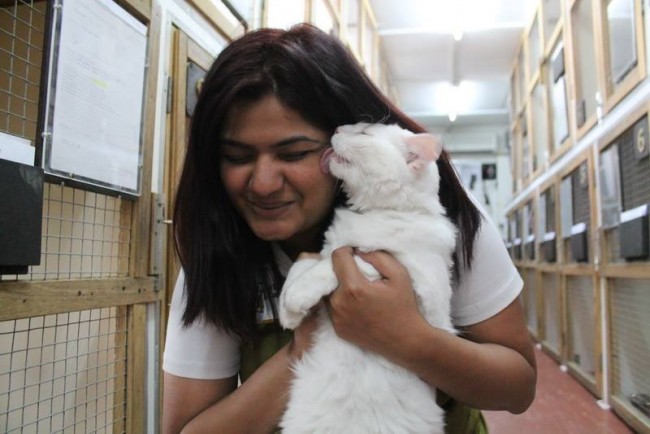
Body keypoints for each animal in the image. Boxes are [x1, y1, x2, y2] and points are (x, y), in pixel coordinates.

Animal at [278, 122, 456, 434]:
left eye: (364, 133)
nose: (337, 128)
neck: (377, 213)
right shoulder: (321, 252)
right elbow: (305, 265)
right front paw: (287, 310)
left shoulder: (414, 277)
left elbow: (337, 262)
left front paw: (298, 298)